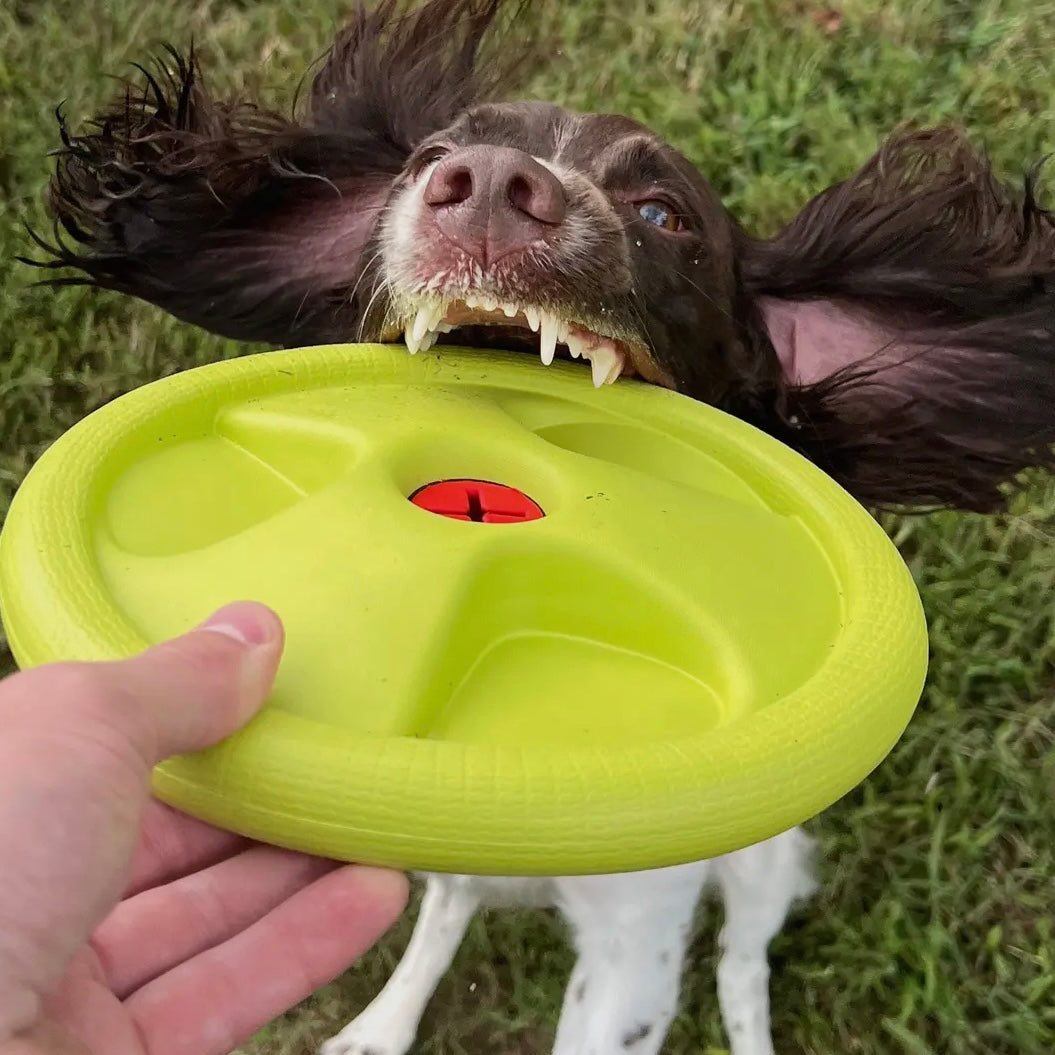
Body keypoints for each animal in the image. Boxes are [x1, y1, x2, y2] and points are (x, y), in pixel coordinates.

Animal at [24, 2, 1055, 1055]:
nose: (484, 187)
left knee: (742, 955)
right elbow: (440, 908)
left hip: (767, 858)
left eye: (663, 214)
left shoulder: (635, 938)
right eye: (429, 157)